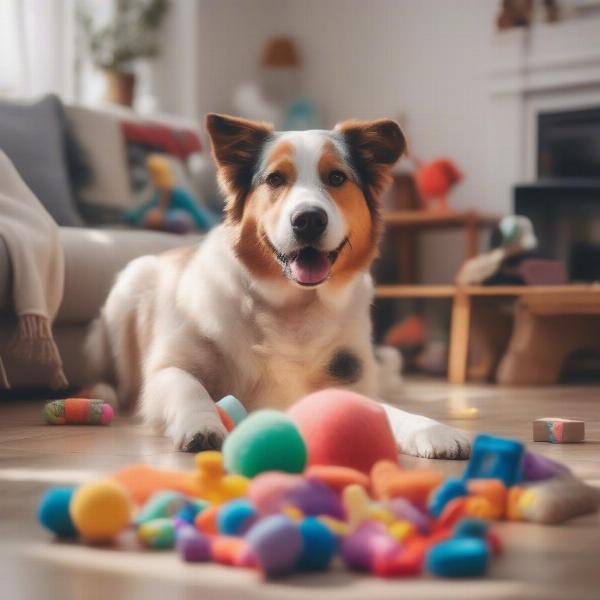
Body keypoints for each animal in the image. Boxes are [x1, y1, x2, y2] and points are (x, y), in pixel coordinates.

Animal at [85, 113, 468, 460]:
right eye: (274, 179)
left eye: (337, 177)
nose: (309, 220)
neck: (294, 304)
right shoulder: (167, 370)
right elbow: (189, 388)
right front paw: (203, 425)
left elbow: (386, 410)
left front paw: (432, 430)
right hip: (129, 286)